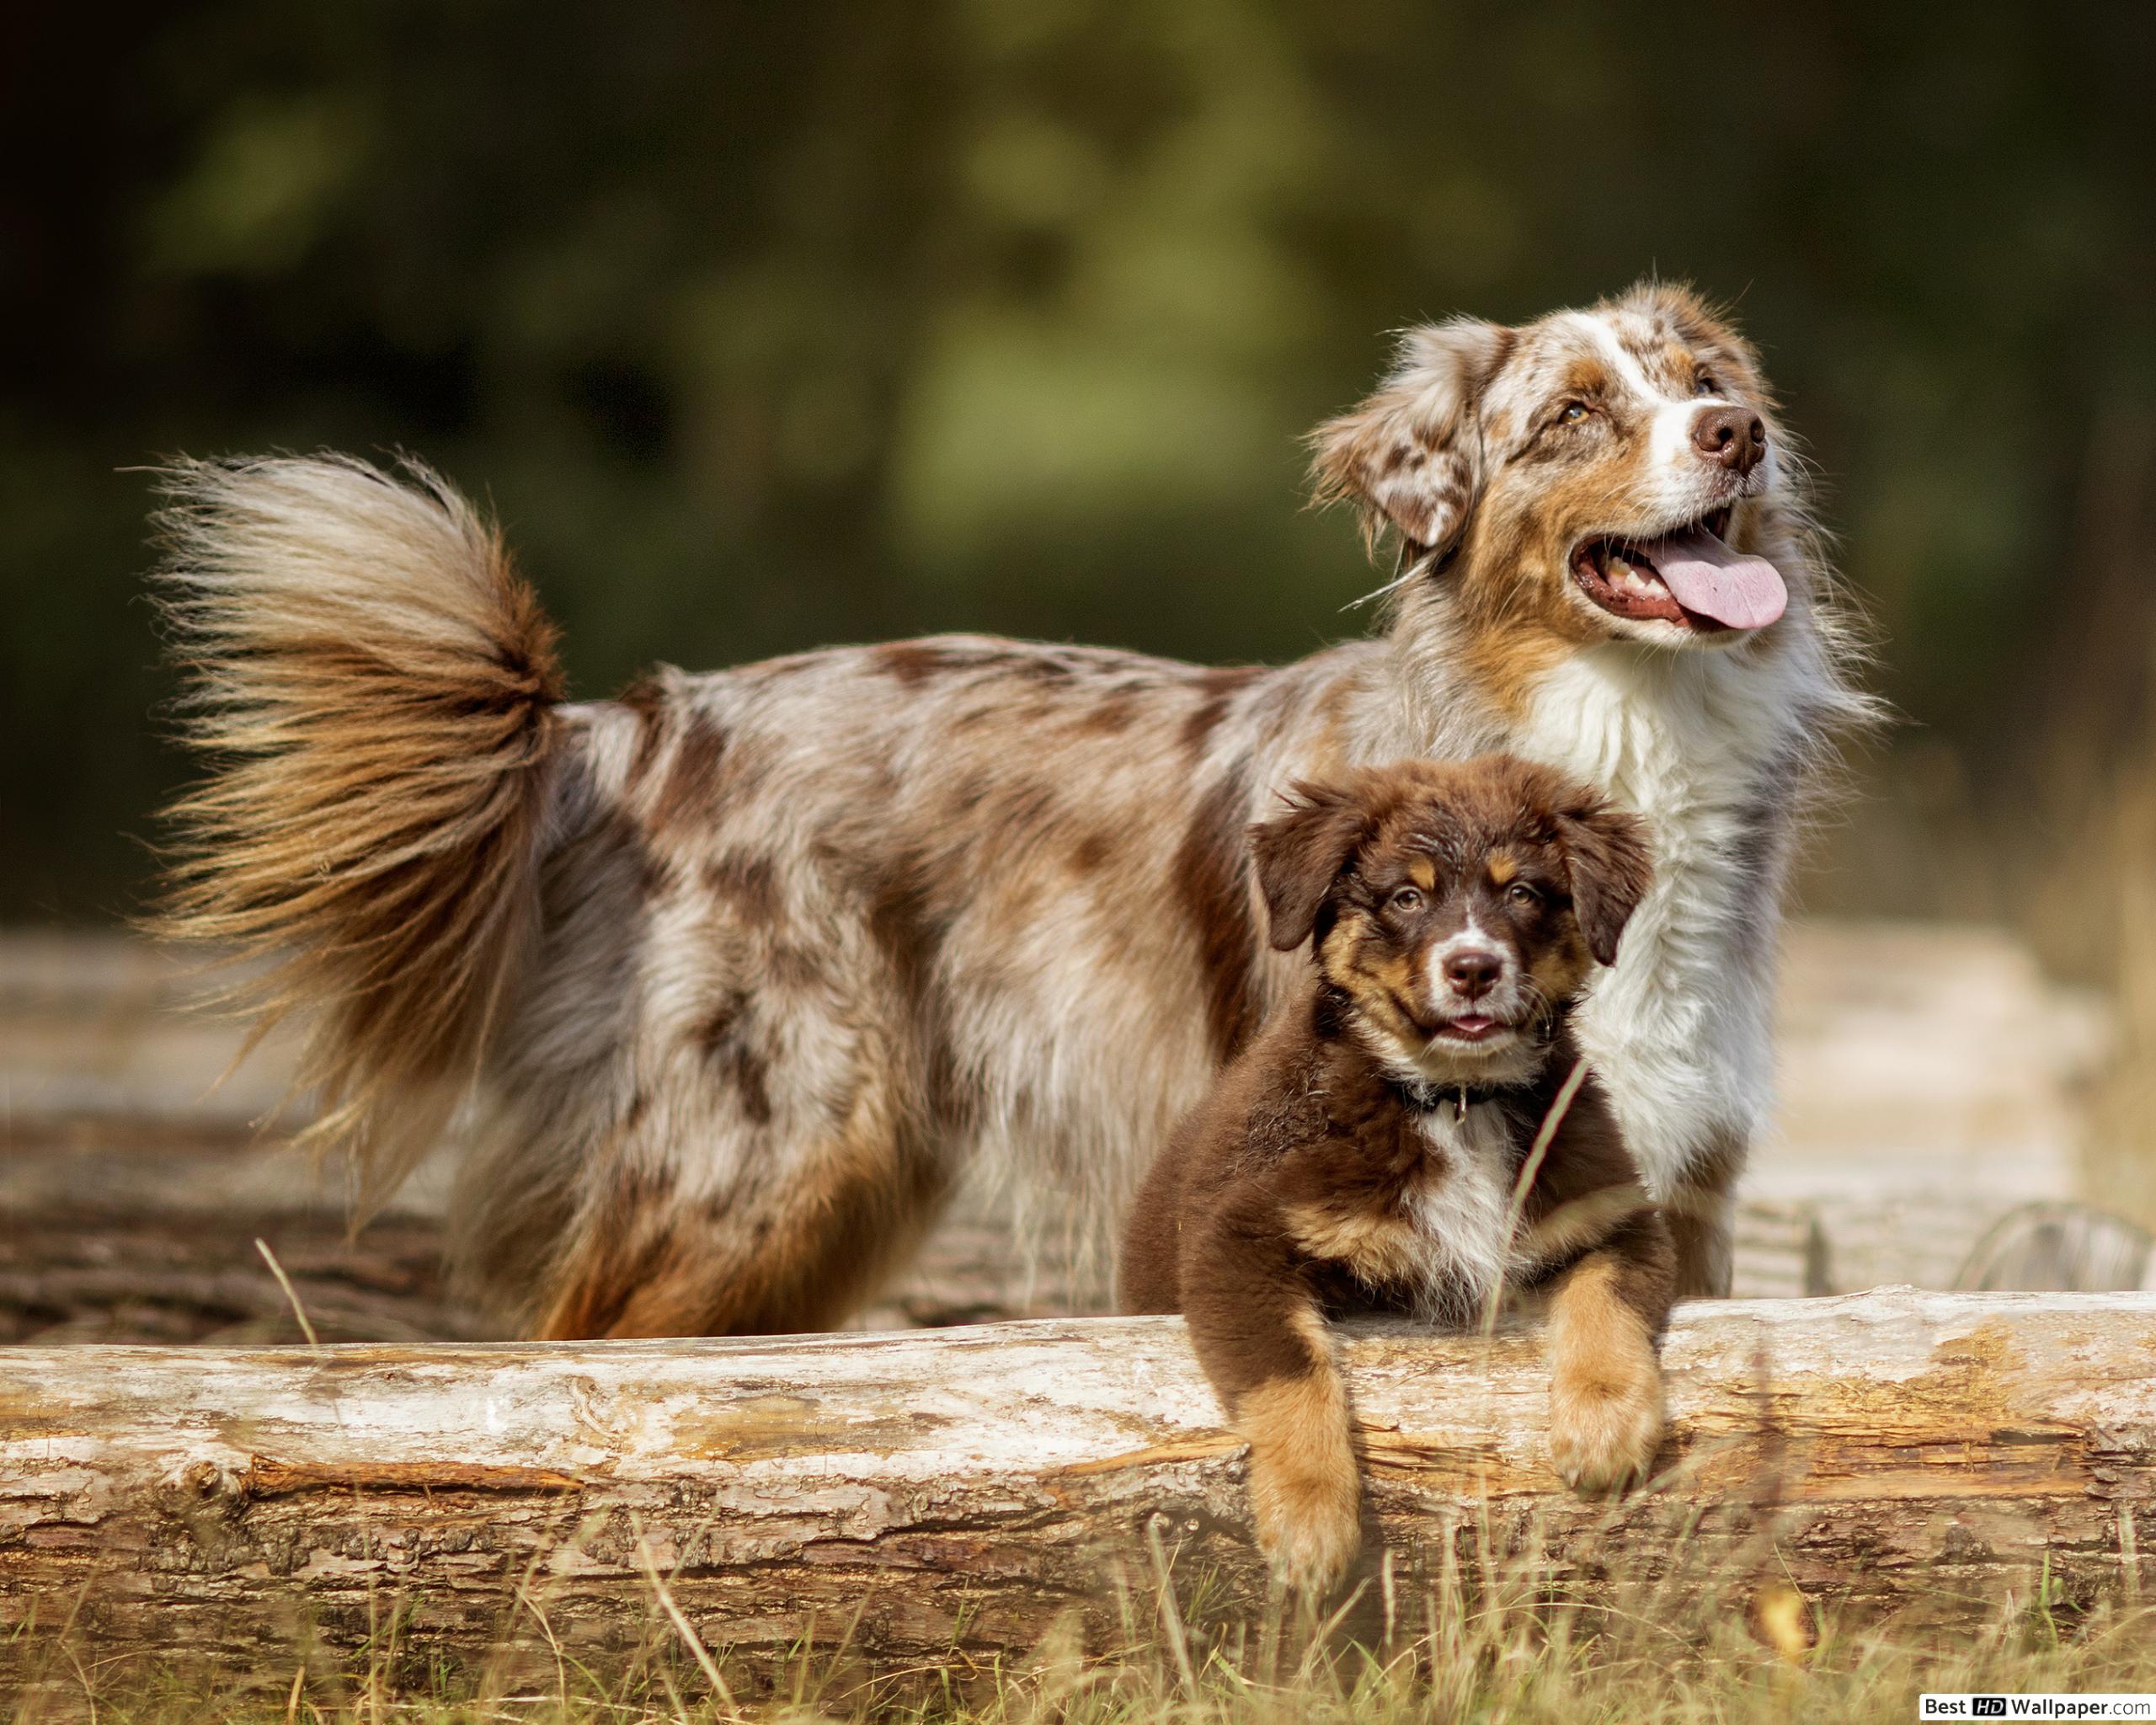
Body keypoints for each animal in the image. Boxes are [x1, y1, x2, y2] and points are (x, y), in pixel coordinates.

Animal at [1129, 755, 1681, 1587]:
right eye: (1407, 896)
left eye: (1522, 893)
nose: (1473, 968)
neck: (1454, 1099)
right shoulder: (1238, 1239)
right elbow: (1289, 1371)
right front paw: (1311, 1525)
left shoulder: (1610, 1213)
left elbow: (1606, 1301)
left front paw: (1605, 1427)